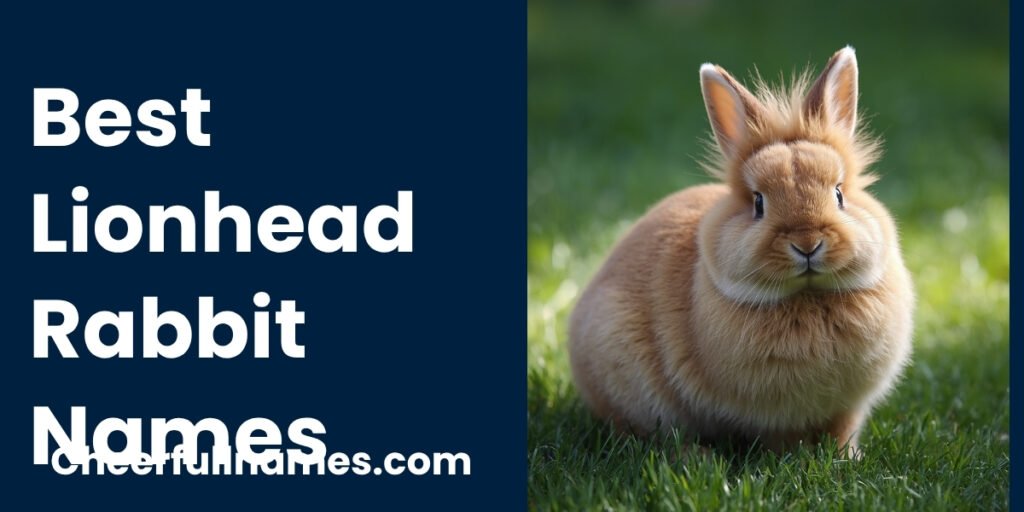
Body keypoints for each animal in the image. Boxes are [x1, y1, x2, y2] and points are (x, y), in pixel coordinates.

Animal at [568, 47, 913, 456]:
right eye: (758, 203)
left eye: (839, 194)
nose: (807, 243)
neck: (809, 296)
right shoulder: (777, 413)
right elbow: (784, 437)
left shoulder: (846, 407)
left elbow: (842, 431)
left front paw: (848, 458)